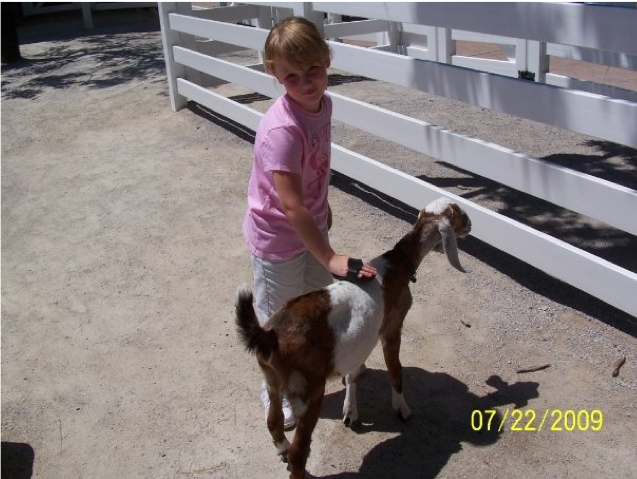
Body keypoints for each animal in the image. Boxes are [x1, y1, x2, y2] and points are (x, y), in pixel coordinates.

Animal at [234, 197, 468, 478]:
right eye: (458, 213)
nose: (470, 225)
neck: (398, 263)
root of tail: (268, 335)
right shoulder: (391, 328)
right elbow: (395, 369)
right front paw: (402, 408)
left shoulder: (360, 340)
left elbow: (354, 373)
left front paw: (351, 411)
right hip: (308, 390)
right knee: (299, 452)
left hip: (273, 381)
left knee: (273, 421)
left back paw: (282, 447)